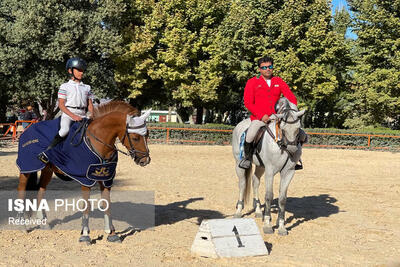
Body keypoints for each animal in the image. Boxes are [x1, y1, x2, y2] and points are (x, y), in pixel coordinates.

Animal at [15, 102, 150, 245]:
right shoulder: (86, 179)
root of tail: (28, 130)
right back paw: (22, 225)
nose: (145, 160)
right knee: (21, 190)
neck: (98, 141)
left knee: (41, 190)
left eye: (147, 135)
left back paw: (44, 223)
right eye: (135, 138)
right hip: (27, 168)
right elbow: (86, 205)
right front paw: (85, 235)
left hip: (47, 169)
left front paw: (112, 234)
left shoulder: (106, 179)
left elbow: (107, 204)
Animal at [231, 97, 306, 236]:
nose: (292, 150)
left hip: (261, 166)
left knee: (255, 181)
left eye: (298, 128)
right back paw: (239, 211)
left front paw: (281, 227)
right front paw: (267, 225)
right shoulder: (270, 171)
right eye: (283, 128)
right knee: (242, 184)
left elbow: (282, 198)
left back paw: (258, 210)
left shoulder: (288, 172)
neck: (281, 143)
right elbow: (269, 195)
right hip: (238, 164)